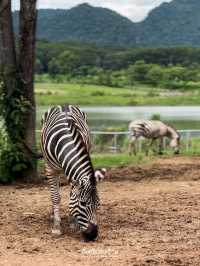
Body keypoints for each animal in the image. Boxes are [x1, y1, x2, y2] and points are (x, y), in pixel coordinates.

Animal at [40, 104, 105, 241]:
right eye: (83, 203)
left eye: (98, 204)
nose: (93, 235)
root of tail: (64, 104)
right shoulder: (50, 169)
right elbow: (55, 197)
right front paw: (57, 227)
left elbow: (71, 195)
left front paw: (73, 223)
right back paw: (53, 214)